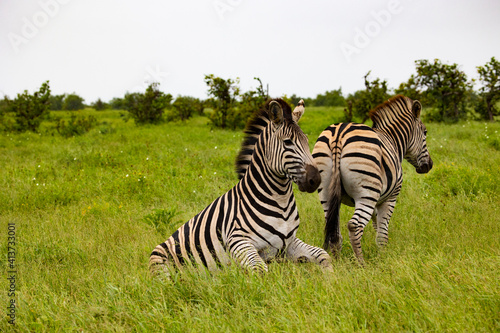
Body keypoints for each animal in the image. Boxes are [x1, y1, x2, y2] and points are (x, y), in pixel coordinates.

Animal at [150, 98, 334, 274]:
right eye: (288, 142)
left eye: (307, 141)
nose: (315, 179)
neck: (280, 199)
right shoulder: (238, 240)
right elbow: (260, 270)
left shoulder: (288, 242)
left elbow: (323, 255)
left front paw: (330, 279)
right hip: (158, 259)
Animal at [312, 94, 434, 264]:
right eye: (425, 132)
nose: (429, 165)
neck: (393, 140)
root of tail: (338, 136)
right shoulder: (389, 197)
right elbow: (383, 233)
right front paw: (383, 257)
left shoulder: (377, 199)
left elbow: (377, 227)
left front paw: (380, 254)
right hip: (366, 193)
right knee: (354, 226)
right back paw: (361, 263)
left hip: (325, 190)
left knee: (333, 228)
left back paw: (338, 261)